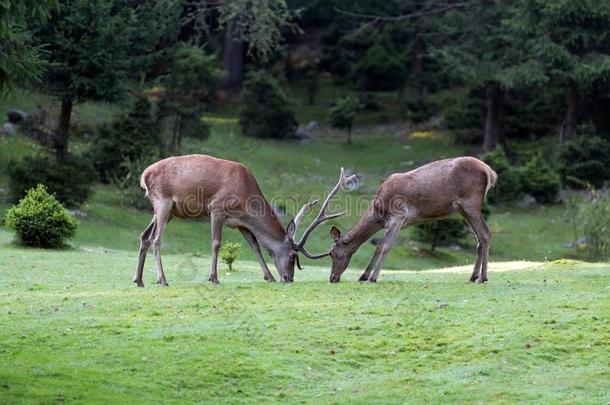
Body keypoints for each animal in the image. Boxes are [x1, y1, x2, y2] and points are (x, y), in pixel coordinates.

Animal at [132, 153, 352, 286]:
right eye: (292, 256)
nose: (288, 278)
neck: (246, 199)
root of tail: (144, 175)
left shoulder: (241, 223)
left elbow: (255, 246)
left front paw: (269, 276)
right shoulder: (216, 208)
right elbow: (216, 243)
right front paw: (214, 278)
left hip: (168, 210)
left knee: (144, 236)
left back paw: (139, 280)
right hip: (163, 202)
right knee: (156, 239)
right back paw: (162, 280)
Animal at [314, 156, 494, 282]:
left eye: (332, 253)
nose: (332, 278)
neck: (379, 211)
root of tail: (490, 171)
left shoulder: (399, 216)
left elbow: (385, 246)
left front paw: (372, 278)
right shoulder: (390, 223)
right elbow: (378, 246)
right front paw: (363, 276)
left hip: (471, 203)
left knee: (485, 233)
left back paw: (482, 278)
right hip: (463, 211)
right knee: (479, 238)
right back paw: (473, 276)